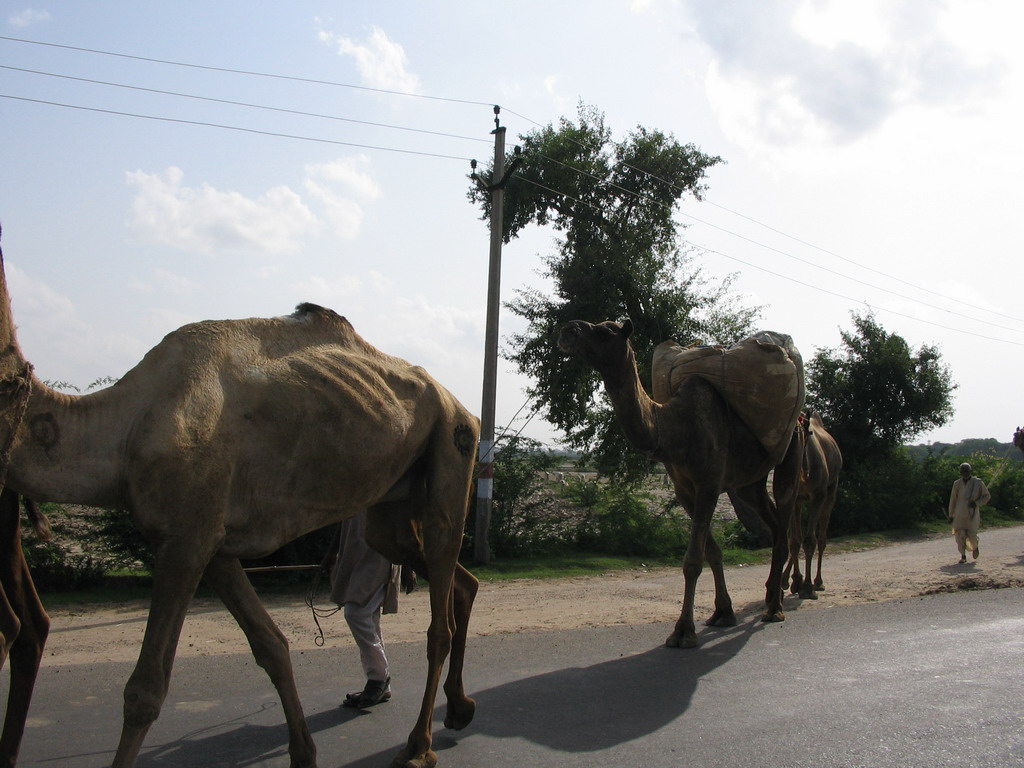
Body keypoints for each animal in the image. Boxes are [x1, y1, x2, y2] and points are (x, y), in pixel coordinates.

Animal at [0, 227, 481, 768]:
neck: (126, 428)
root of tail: (459, 403)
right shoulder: (210, 544)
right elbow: (270, 645)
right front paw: (303, 754)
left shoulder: (186, 539)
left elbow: (145, 690)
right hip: (393, 503)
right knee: (451, 576)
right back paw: (459, 709)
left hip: (453, 443)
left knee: (438, 614)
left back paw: (419, 746)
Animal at [561, 319, 806, 651]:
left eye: (605, 331)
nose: (568, 330)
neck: (674, 427)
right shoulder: (685, 490)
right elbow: (712, 553)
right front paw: (722, 612)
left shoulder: (709, 483)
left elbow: (692, 560)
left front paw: (683, 631)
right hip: (749, 481)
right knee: (772, 522)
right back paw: (772, 593)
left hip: (790, 451)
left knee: (784, 517)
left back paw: (775, 608)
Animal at [782, 415, 839, 602]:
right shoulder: (794, 498)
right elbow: (794, 541)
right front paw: (796, 581)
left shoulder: (818, 494)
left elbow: (809, 540)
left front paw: (807, 587)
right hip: (801, 500)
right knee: (796, 537)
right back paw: (789, 580)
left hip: (831, 492)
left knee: (821, 538)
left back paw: (818, 582)